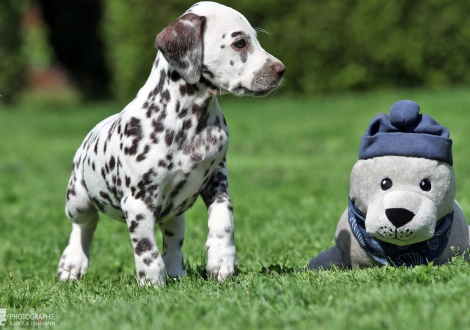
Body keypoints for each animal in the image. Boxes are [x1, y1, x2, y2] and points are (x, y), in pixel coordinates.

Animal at [58, 1, 286, 286]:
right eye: (240, 43)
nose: (281, 70)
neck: (190, 122)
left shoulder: (216, 177)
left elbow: (224, 216)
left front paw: (222, 258)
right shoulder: (139, 202)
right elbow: (146, 249)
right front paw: (152, 282)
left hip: (176, 213)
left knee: (173, 240)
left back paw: (177, 271)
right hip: (78, 200)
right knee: (84, 225)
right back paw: (72, 263)